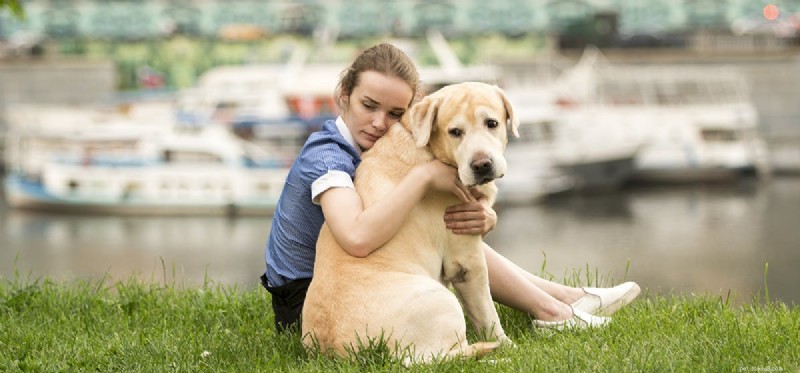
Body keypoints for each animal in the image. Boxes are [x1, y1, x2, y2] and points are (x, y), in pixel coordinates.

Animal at [300, 81, 520, 364]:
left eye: (491, 123)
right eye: (455, 132)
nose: (481, 164)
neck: (427, 146)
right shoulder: (466, 261)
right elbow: (488, 315)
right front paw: (509, 347)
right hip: (441, 301)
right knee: (443, 358)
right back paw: (494, 357)